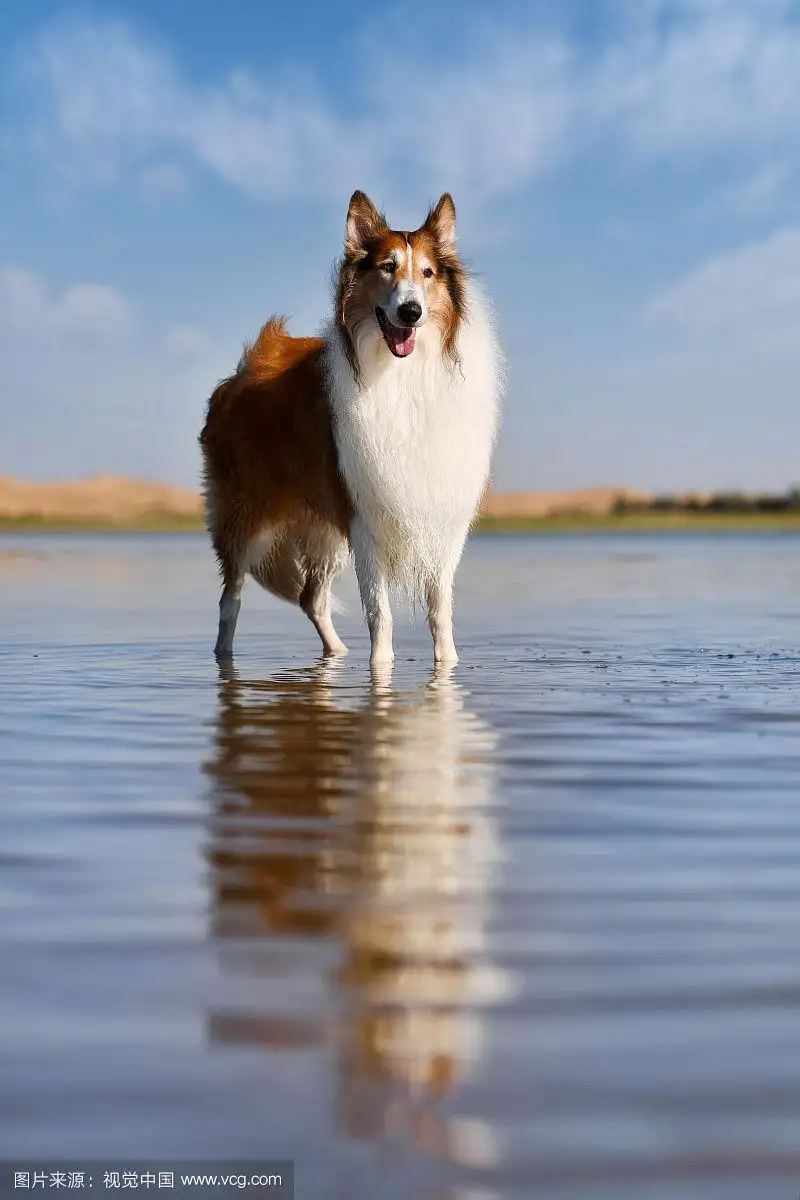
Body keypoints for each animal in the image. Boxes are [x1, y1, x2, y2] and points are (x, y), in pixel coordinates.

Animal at [199, 192, 501, 672]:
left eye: (428, 273)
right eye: (387, 267)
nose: (411, 312)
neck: (405, 374)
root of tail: (244, 368)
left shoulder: (440, 518)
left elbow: (440, 609)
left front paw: (447, 667)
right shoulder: (366, 518)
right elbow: (380, 612)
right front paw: (381, 672)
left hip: (324, 531)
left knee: (311, 598)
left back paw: (337, 654)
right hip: (249, 517)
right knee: (231, 602)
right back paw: (225, 661)